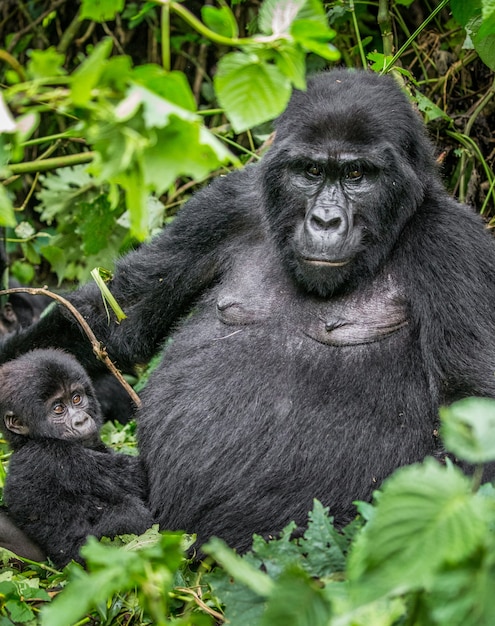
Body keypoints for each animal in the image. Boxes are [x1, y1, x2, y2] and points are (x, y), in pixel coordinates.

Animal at [0, 348, 153, 568]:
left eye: (76, 399)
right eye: (58, 409)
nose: (81, 421)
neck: (28, 440)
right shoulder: (52, 456)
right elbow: (141, 478)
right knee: (132, 516)